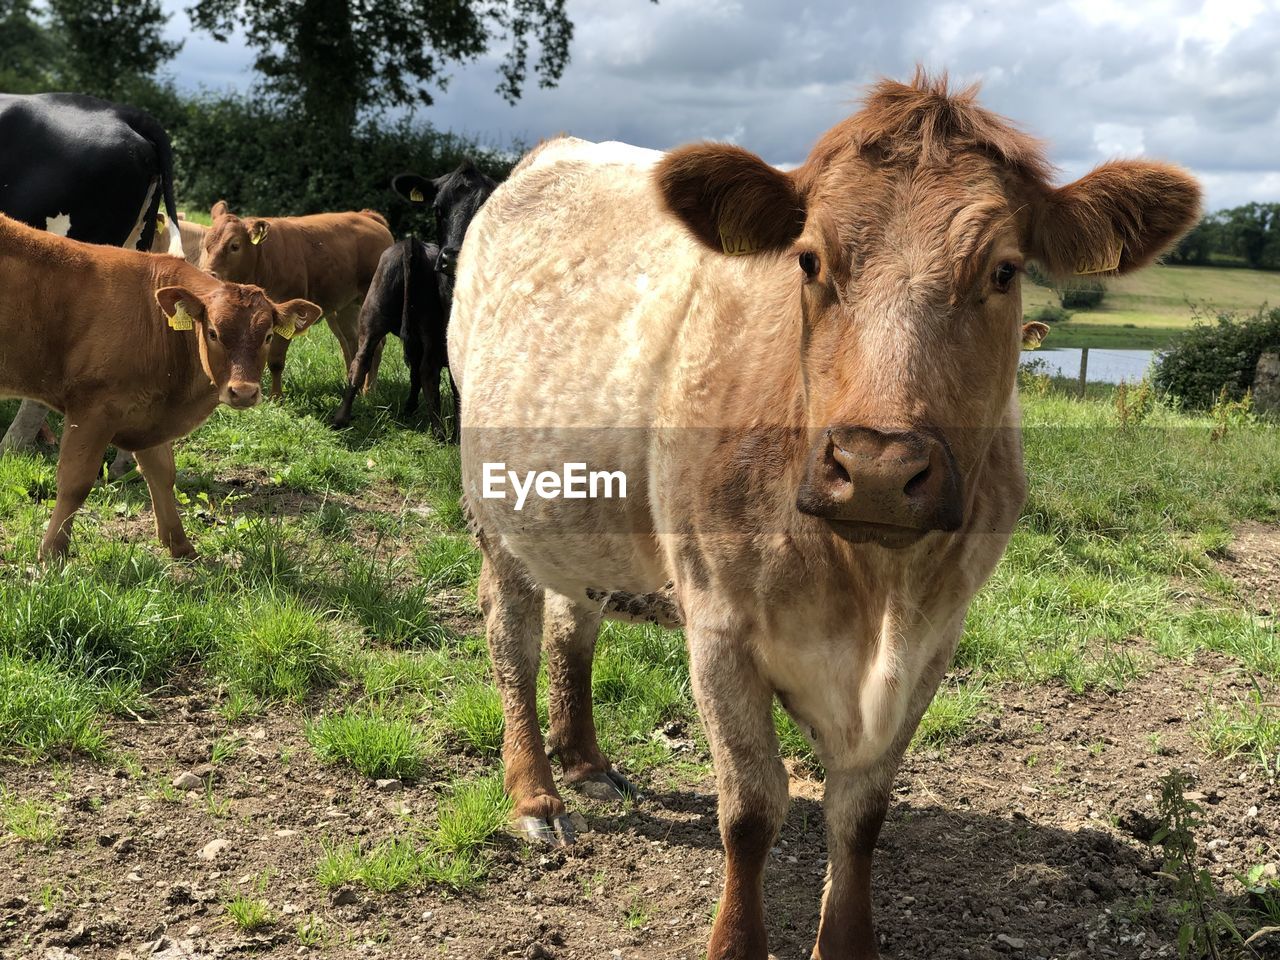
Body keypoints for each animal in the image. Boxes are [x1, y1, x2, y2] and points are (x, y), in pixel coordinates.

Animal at [0, 209, 320, 555]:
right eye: (213, 332)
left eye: (268, 335)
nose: (244, 392)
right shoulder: (92, 409)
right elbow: (75, 483)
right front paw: (52, 552)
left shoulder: (149, 410)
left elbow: (163, 475)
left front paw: (180, 546)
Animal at [199, 203, 394, 399]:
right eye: (206, 245)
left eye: (235, 246)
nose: (208, 274)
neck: (263, 262)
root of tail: (367, 216)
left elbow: (276, 361)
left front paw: (276, 397)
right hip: (344, 307)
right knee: (350, 342)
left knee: (375, 346)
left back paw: (369, 391)